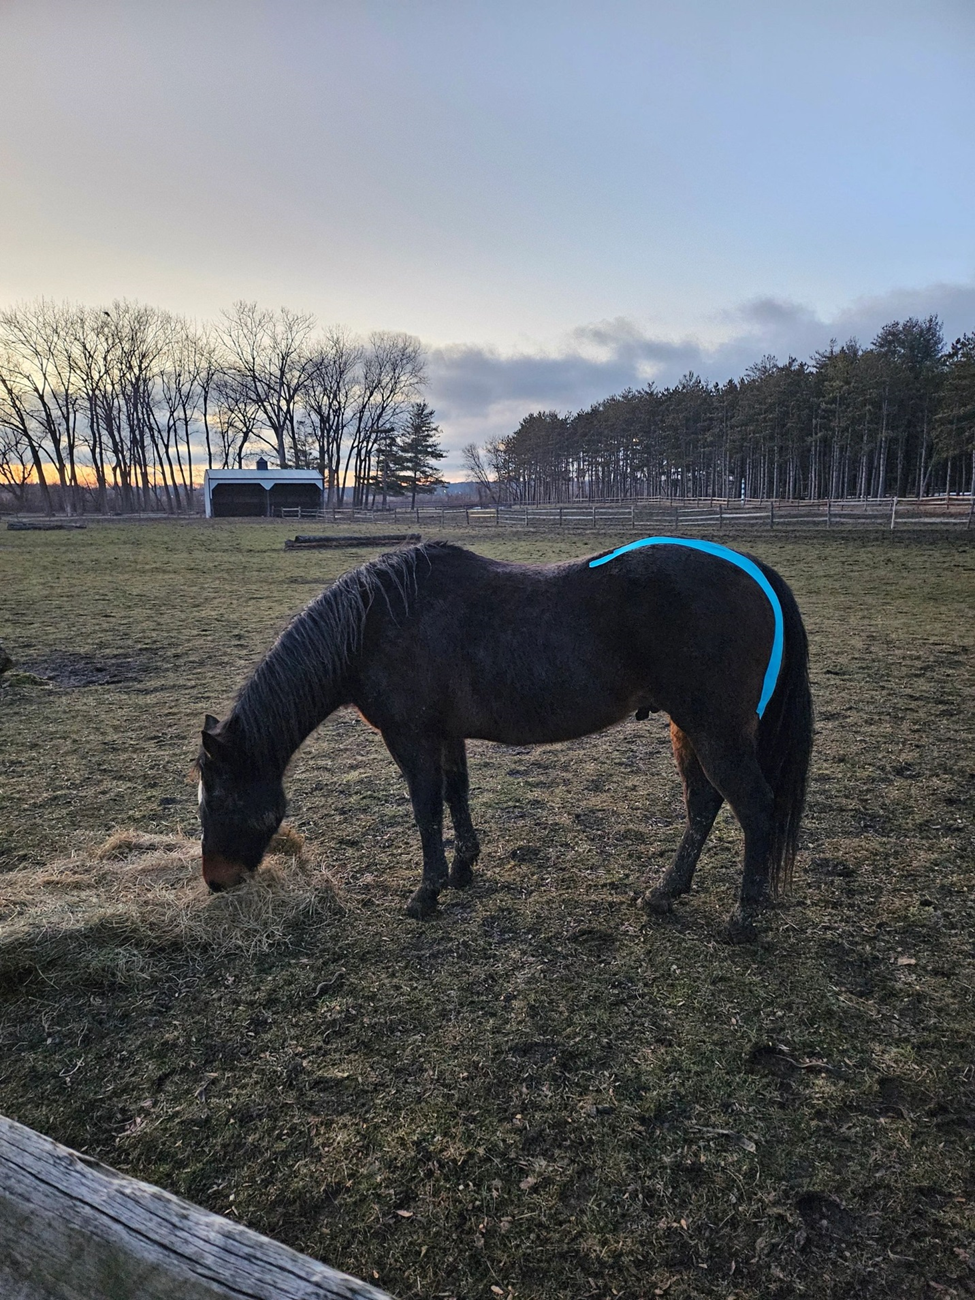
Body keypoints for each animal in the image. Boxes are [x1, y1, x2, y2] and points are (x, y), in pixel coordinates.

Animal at [197, 537, 812, 942]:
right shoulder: (445, 734)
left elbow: (425, 809)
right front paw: (464, 869)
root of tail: (753, 570)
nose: (215, 882)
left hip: (715, 731)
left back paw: (742, 918)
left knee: (754, 807)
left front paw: (427, 892)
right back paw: (666, 892)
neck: (375, 623)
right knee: (704, 803)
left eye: (218, 800)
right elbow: (455, 794)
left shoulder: (411, 738)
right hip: (689, 728)